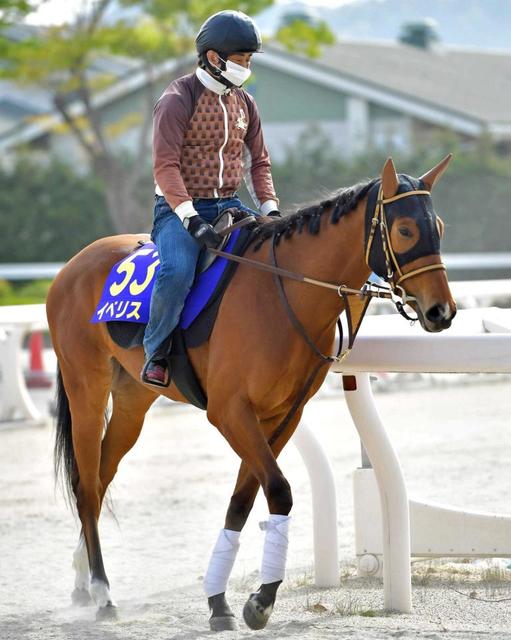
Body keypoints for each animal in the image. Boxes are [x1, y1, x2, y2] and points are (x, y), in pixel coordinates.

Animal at [47, 156, 456, 632]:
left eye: (438, 226)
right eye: (405, 229)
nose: (441, 311)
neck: (283, 292)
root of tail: (70, 267)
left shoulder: (281, 415)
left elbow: (242, 500)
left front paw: (219, 601)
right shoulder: (230, 413)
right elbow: (278, 489)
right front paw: (260, 599)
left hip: (132, 401)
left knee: (101, 477)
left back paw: (82, 579)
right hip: (87, 390)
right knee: (86, 485)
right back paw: (101, 590)